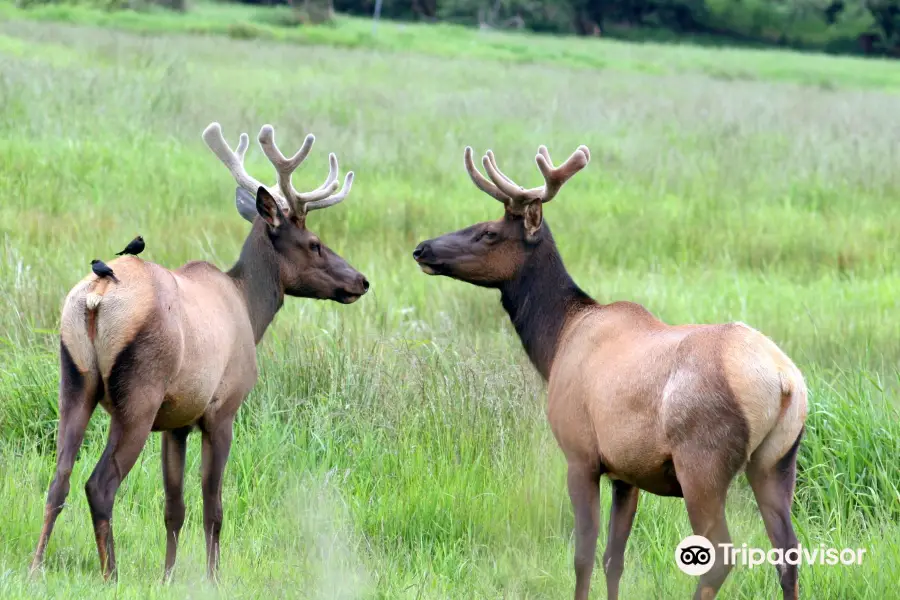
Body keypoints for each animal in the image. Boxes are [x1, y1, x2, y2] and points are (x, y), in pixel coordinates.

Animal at [30, 120, 370, 580]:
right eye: (314, 242)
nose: (360, 280)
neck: (250, 309)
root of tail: (97, 298)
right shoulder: (221, 410)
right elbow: (214, 507)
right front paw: (212, 578)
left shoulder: (176, 422)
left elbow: (174, 507)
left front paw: (168, 575)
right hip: (138, 396)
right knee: (99, 484)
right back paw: (110, 574)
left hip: (74, 380)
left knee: (59, 478)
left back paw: (35, 566)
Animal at [414, 145, 808, 600]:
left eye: (489, 232)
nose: (422, 249)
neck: (557, 342)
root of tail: (783, 381)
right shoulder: (627, 472)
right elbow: (613, 558)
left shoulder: (580, 455)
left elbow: (583, 554)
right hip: (776, 461)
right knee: (788, 552)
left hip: (702, 463)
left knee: (721, 555)